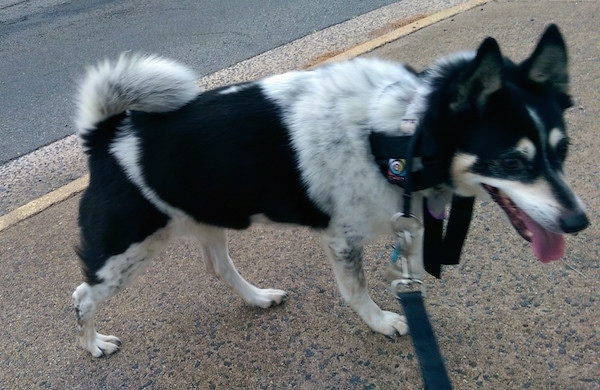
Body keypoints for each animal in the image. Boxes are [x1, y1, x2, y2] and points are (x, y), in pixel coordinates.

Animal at [72, 24, 588, 358]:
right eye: (512, 161)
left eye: (561, 150)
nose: (578, 221)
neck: (401, 132)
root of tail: (106, 134)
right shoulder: (343, 240)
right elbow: (357, 292)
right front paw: (383, 322)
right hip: (123, 254)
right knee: (81, 298)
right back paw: (94, 343)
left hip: (205, 217)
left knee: (219, 267)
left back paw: (258, 298)